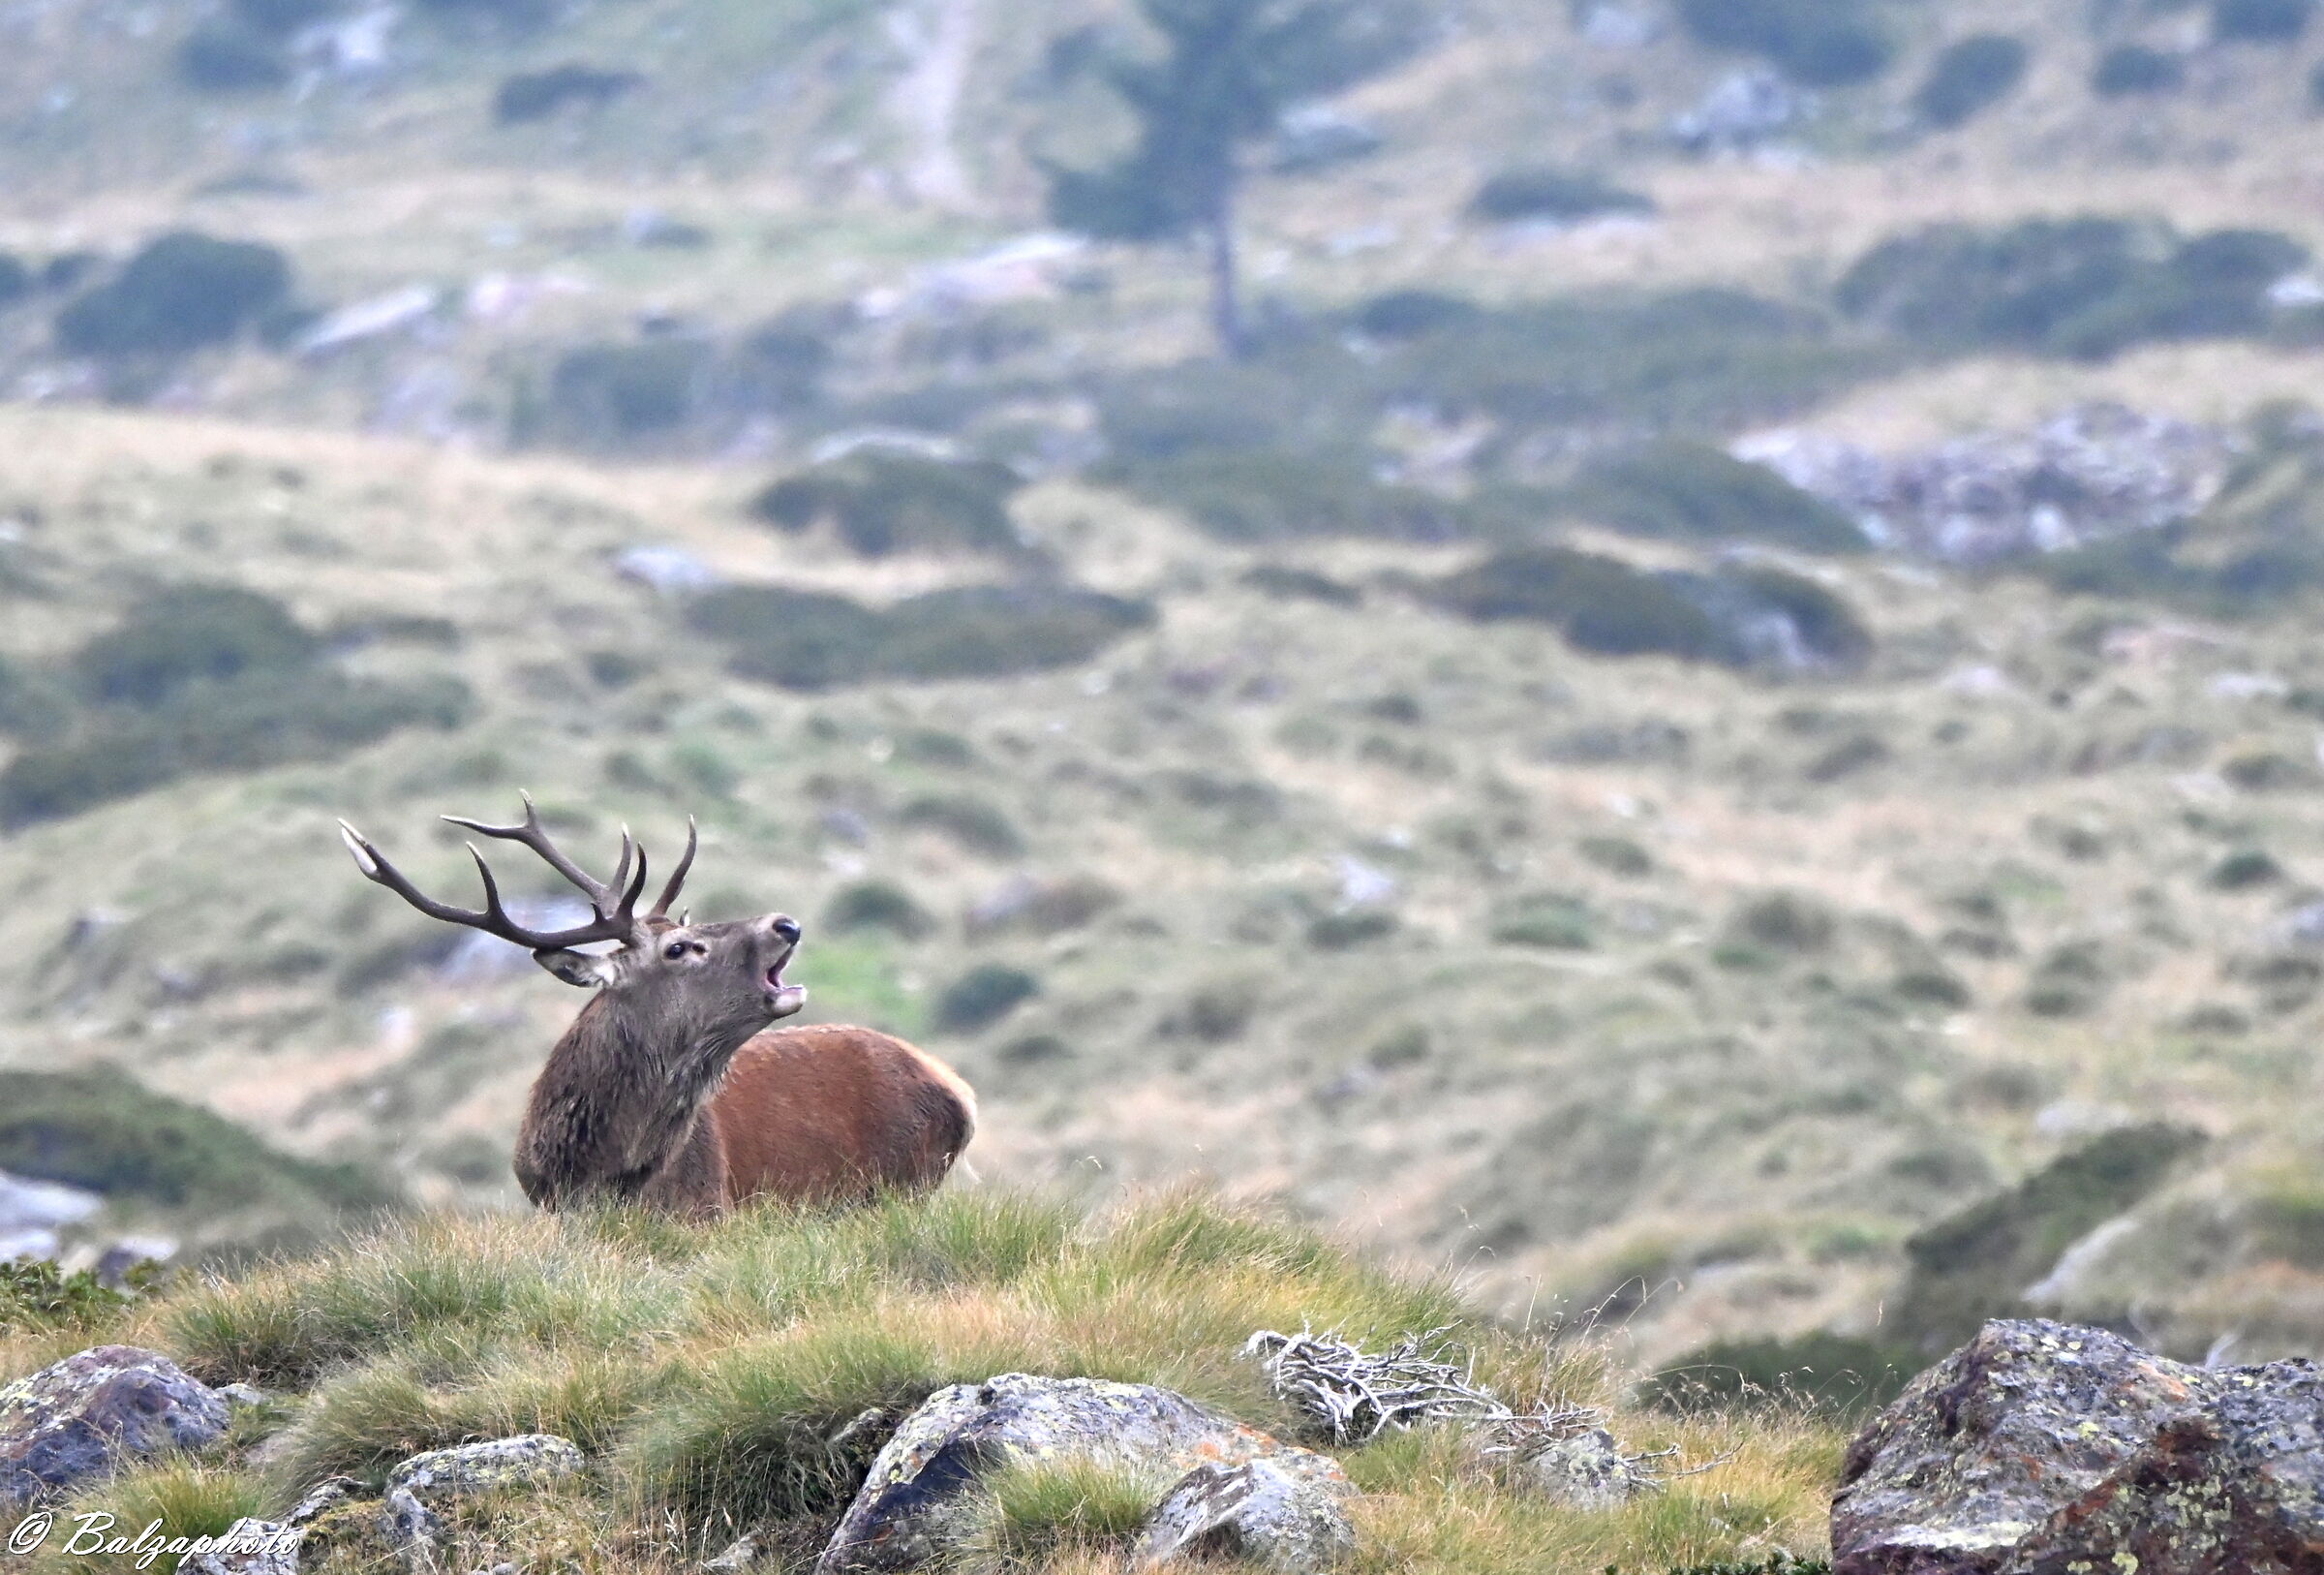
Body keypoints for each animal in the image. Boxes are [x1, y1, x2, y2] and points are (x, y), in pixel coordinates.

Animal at [336, 796, 976, 1216]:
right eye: (678, 947)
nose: (786, 923)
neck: (598, 1173)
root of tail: (958, 1092)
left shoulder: (709, 1212)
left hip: (901, 1183)